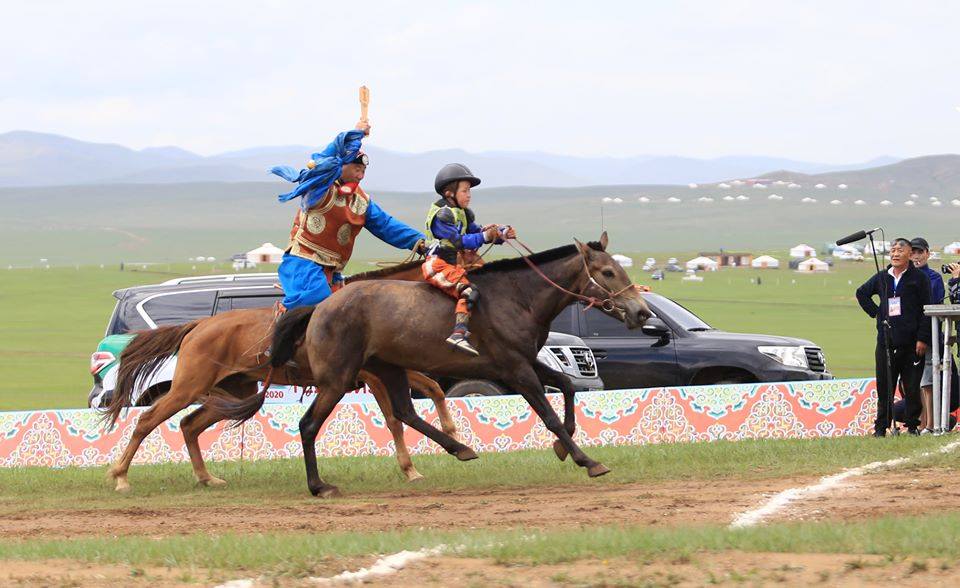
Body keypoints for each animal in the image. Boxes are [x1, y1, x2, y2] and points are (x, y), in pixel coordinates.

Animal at [101, 262, 458, 492]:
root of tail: (197, 325)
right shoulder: (374, 376)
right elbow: (396, 418)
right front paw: (412, 467)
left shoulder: (393, 371)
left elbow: (434, 389)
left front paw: (447, 433)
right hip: (186, 389)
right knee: (147, 420)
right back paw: (120, 476)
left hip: (235, 392)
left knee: (190, 425)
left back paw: (207, 478)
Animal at [215, 234, 652, 496]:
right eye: (608, 272)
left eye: (621, 269)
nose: (642, 312)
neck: (518, 298)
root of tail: (320, 306)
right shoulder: (516, 370)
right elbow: (548, 414)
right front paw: (587, 460)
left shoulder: (527, 363)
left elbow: (567, 387)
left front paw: (565, 448)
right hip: (338, 380)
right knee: (308, 425)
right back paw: (320, 485)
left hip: (387, 369)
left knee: (404, 412)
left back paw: (460, 448)